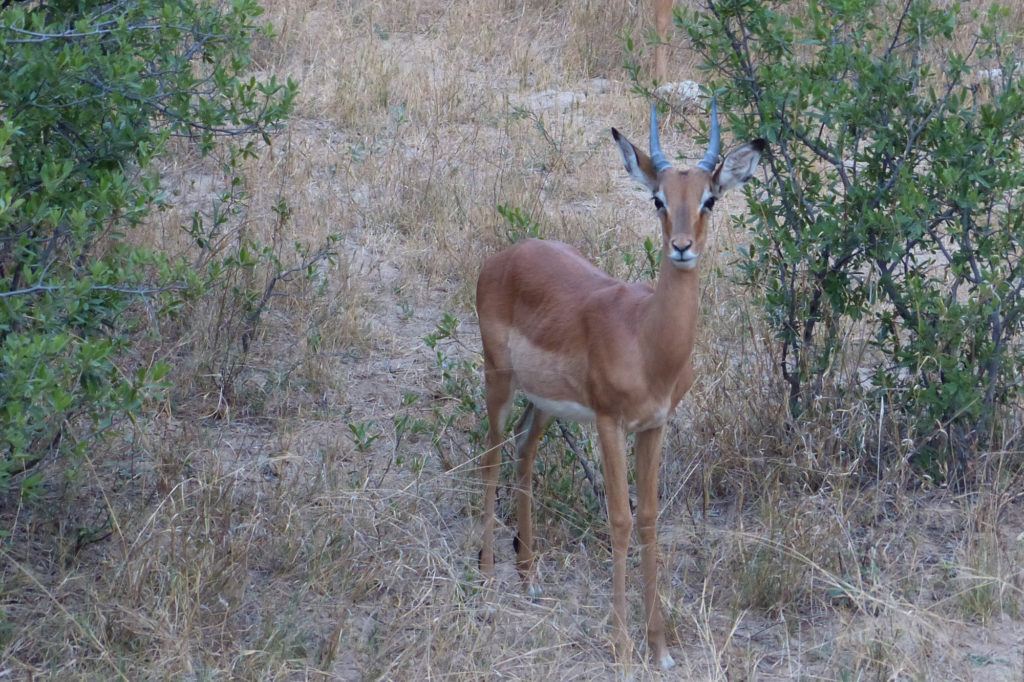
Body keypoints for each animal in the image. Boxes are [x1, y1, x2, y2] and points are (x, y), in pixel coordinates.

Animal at [475, 100, 764, 668]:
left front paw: (661, 648)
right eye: (658, 199)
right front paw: (624, 647)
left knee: (523, 452)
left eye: (710, 199)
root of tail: (503, 257)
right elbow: (620, 519)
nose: (681, 247)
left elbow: (649, 518)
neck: (647, 340)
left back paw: (529, 578)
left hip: (545, 404)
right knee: (492, 455)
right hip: (499, 380)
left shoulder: (654, 426)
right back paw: (487, 579)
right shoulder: (610, 424)